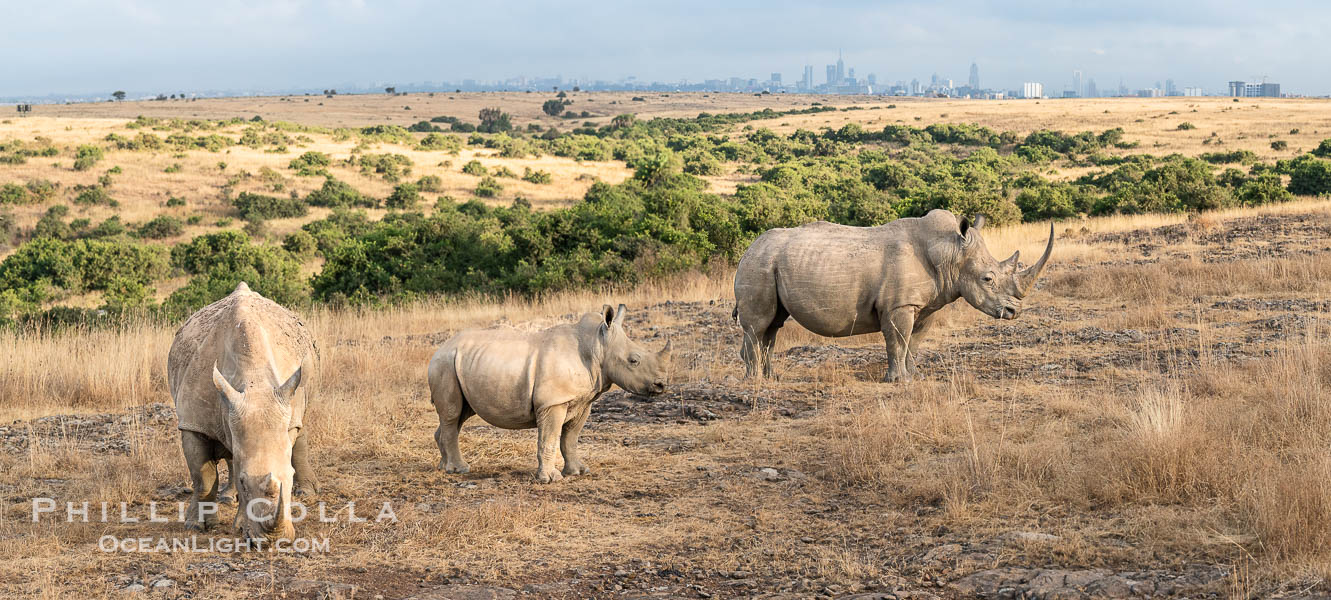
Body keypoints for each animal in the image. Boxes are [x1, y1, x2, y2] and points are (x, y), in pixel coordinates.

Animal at [167, 284, 318, 542]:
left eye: (289, 478)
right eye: (243, 481)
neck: (254, 381)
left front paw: (238, 528)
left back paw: (307, 493)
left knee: (299, 423)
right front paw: (196, 526)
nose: (274, 541)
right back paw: (227, 497)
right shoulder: (193, 423)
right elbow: (203, 477)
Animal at [428, 305, 670, 484]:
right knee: (452, 414)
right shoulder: (553, 402)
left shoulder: (581, 401)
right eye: (634, 361)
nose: (661, 385)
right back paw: (459, 470)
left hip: (459, 364)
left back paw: (443, 467)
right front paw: (550, 479)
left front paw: (579, 472)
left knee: (459, 415)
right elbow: (550, 438)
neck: (596, 346)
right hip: (444, 364)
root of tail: (439, 349)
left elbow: (570, 438)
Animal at [729, 208, 1048, 383]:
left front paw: (915, 377)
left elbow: (913, 343)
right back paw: (754, 380)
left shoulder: (923, 306)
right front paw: (898, 381)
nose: (1014, 312)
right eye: (987, 279)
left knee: (773, 325)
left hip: (769, 262)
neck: (949, 252)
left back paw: (771, 378)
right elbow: (898, 340)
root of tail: (747, 249)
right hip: (759, 264)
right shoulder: (899, 305)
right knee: (759, 325)